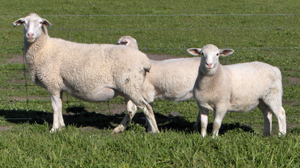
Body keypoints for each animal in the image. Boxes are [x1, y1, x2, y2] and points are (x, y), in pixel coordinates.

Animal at [13, 13, 159, 133]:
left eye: (40, 23)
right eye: (24, 22)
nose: (30, 35)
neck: (44, 49)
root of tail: (144, 60)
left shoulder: (52, 83)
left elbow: (54, 107)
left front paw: (54, 129)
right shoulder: (59, 85)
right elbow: (59, 105)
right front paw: (62, 126)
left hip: (130, 85)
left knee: (146, 107)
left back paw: (154, 131)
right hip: (129, 87)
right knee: (132, 109)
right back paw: (119, 129)